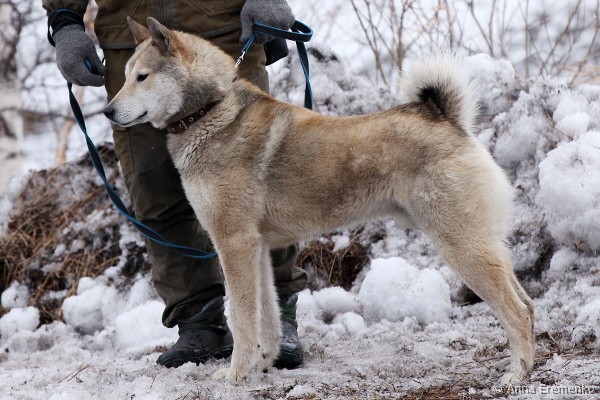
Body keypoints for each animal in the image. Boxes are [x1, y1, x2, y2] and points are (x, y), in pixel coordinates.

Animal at [104, 17, 535, 384]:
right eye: (124, 77)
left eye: (142, 77)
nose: (107, 111)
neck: (210, 111)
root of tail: (444, 118)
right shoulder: (256, 249)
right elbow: (267, 316)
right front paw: (264, 363)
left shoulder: (233, 244)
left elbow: (241, 318)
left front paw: (235, 373)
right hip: (482, 243)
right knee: (527, 304)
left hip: (462, 245)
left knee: (516, 311)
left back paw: (516, 375)